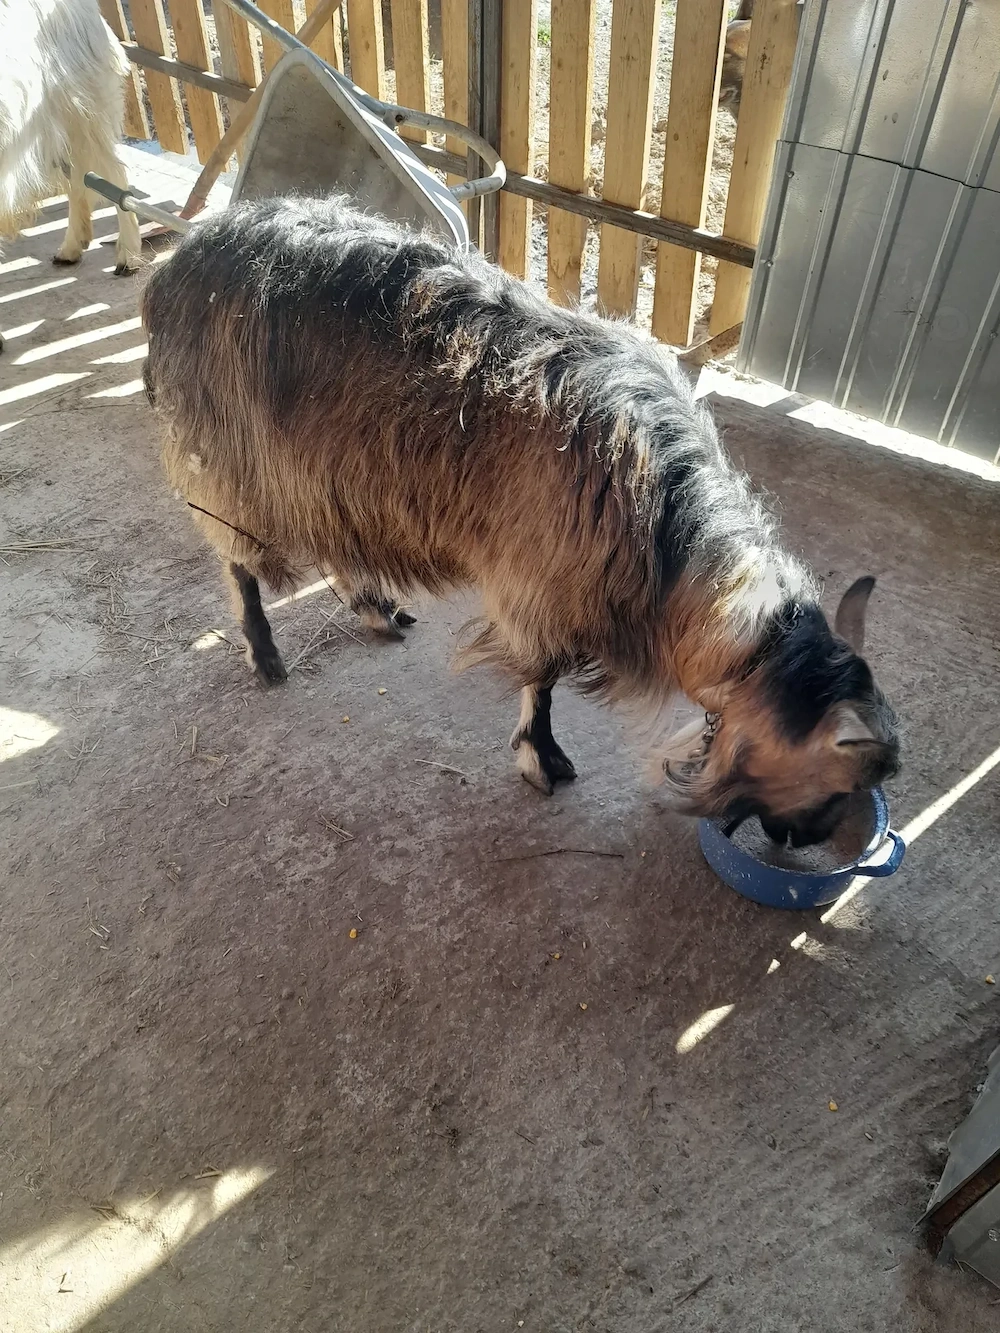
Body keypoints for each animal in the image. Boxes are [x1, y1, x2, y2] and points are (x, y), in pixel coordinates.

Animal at [141, 195, 900, 847]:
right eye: (839, 781)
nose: (804, 840)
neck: (669, 540)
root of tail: (189, 250)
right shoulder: (541, 579)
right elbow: (543, 678)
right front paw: (541, 758)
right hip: (229, 456)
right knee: (237, 558)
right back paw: (265, 653)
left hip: (317, 464)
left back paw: (374, 608)